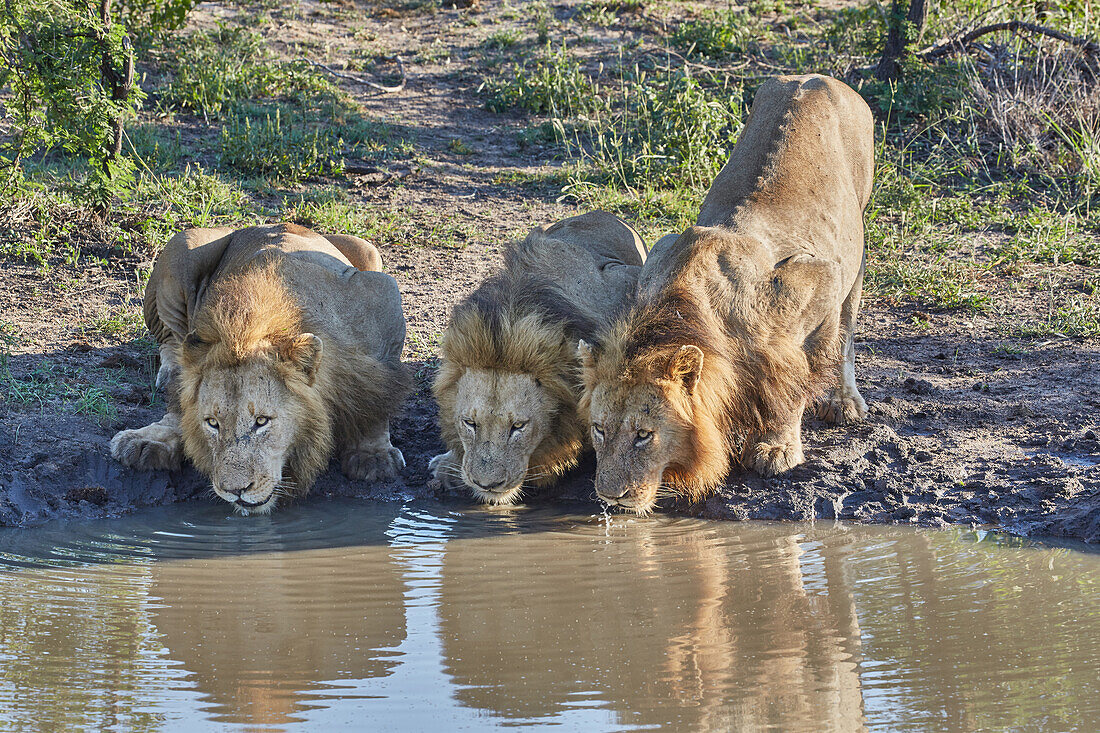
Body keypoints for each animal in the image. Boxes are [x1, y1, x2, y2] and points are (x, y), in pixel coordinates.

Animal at [109, 222, 411, 512]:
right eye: (212, 423)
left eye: (262, 421)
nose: (235, 490)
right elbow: (179, 402)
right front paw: (152, 439)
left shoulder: (384, 296)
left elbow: (379, 394)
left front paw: (373, 456)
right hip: (182, 245)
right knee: (171, 339)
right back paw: (169, 371)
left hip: (368, 249)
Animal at [580, 71, 871, 510]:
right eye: (599, 429)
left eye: (644, 435)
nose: (611, 498)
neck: (686, 306)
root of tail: (814, 75)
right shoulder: (660, 249)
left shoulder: (817, 277)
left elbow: (793, 379)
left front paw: (776, 447)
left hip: (858, 245)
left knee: (848, 331)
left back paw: (844, 400)